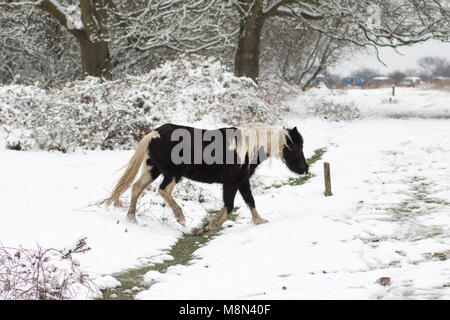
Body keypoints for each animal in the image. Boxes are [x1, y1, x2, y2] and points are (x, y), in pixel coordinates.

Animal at [105, 123, 310, 232]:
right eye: (297, 146)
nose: (305, 169)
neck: (246, 148)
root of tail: (154, 134)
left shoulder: (242, 182)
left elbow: (250, 201)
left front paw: (259, 221)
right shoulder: (231, 183)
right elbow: (229, 207)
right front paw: (209, 226)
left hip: (152, 169)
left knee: (137, 188)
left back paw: (132, 218)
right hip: (173, 173)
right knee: (163, 190)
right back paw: (180, 217)